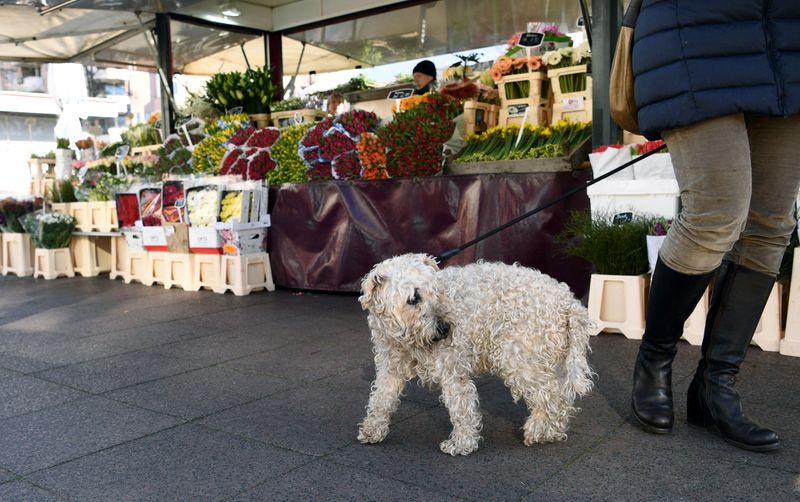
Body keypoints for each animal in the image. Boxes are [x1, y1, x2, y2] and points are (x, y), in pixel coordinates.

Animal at [356, 255, 592, 454]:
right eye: (414, 298)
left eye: (437, 292)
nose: (445, 328)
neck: (406, 340)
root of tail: (569, 302)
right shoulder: (390, 367)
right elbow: (381, 400)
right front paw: (372, 430)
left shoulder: (453, 370)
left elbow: (461, 408)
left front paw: (461, 444)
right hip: (551, 361)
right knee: (562, 398)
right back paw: (553, 431)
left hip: (519, 359)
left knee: (550, 395)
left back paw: (538, 432)